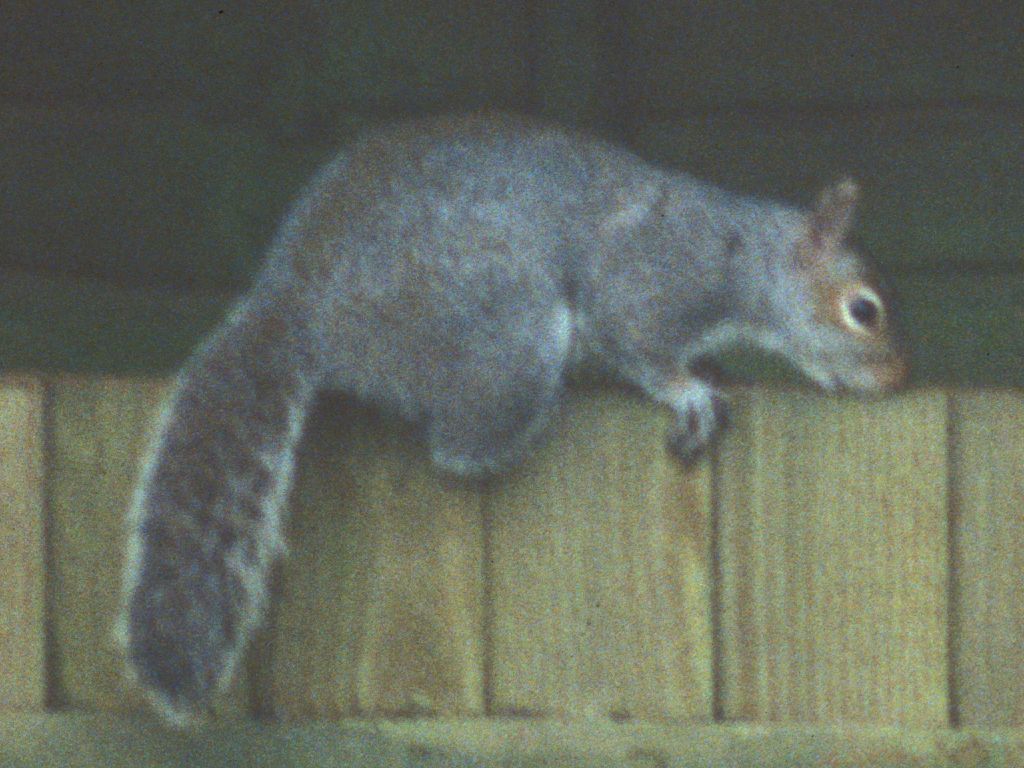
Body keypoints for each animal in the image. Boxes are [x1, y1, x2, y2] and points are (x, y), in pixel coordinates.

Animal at [116, 111, 907, 724]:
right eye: (862, 311)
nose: (898, 378)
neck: (737, 252)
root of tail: (297, 306)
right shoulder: (650, 281)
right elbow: (639, 343)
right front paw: (687, 389)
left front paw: (714, 372)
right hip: (506, 332)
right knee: (454, 446)